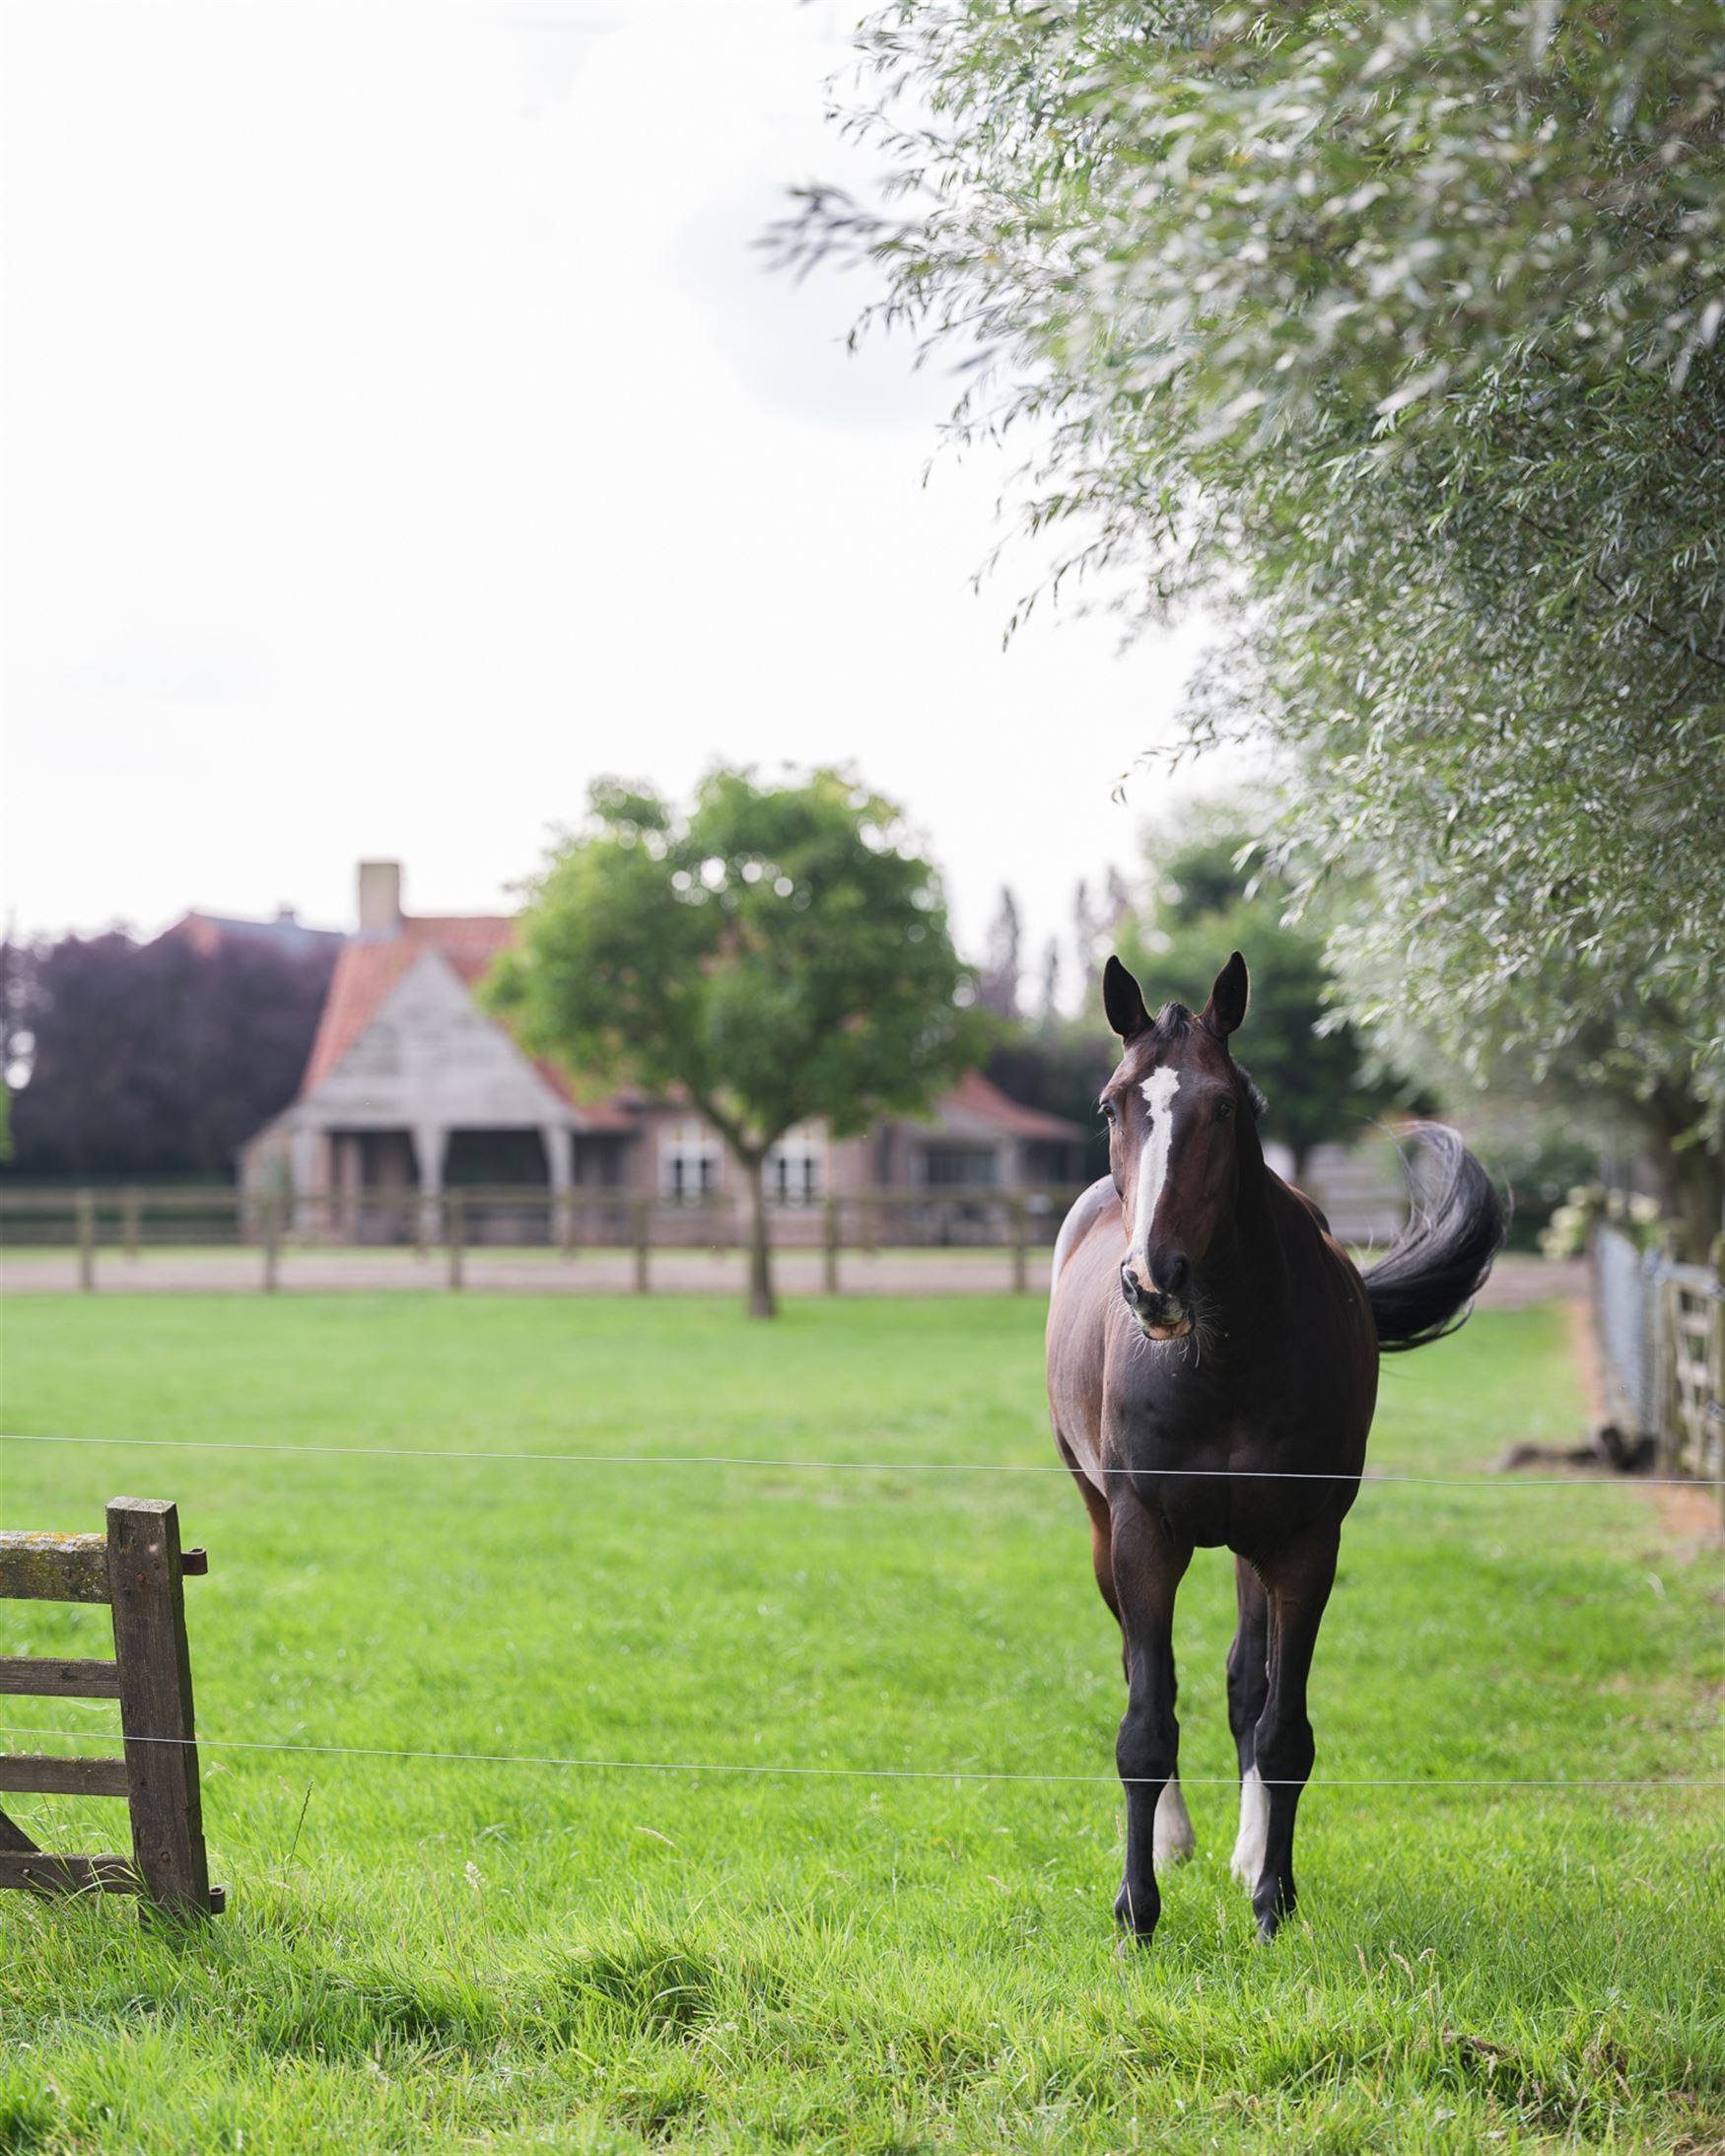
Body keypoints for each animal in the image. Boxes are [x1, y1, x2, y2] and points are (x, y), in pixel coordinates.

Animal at [1043, 952, 1500, 1949]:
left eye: (1226, 1106)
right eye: (1110, 1104)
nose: (1152, 1280)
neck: (1222, 1358)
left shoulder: (1303, 1543)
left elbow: (1282, 1726)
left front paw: (1273, 1901)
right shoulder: (1143, 1536)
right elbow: (1145, 1721)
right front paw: (1137, 1911)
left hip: (1252, 1548)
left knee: (1246, 1686)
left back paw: (1249, 1851)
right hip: (1100, 1525)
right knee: (1153, 1674)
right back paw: (1174, 1841)